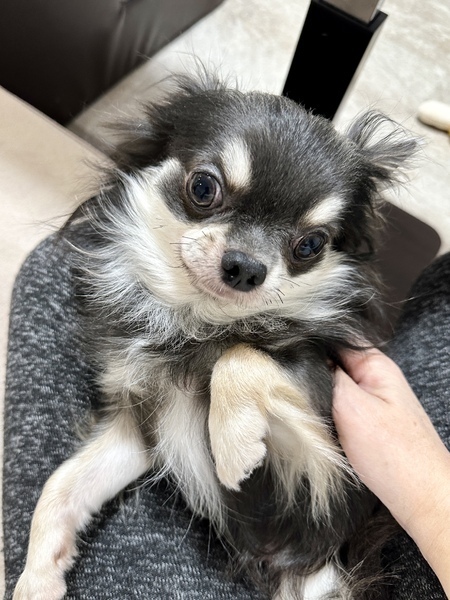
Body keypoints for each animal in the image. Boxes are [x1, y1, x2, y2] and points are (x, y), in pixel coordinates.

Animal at [14, 74, 417, 600]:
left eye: (311, 245)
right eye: (203, 187)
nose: (246, 267)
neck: (196, 322)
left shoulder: (329, 460)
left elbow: (240, 354)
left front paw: (234, 444)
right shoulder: (139, 428)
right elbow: (61, 486)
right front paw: (37, 578)